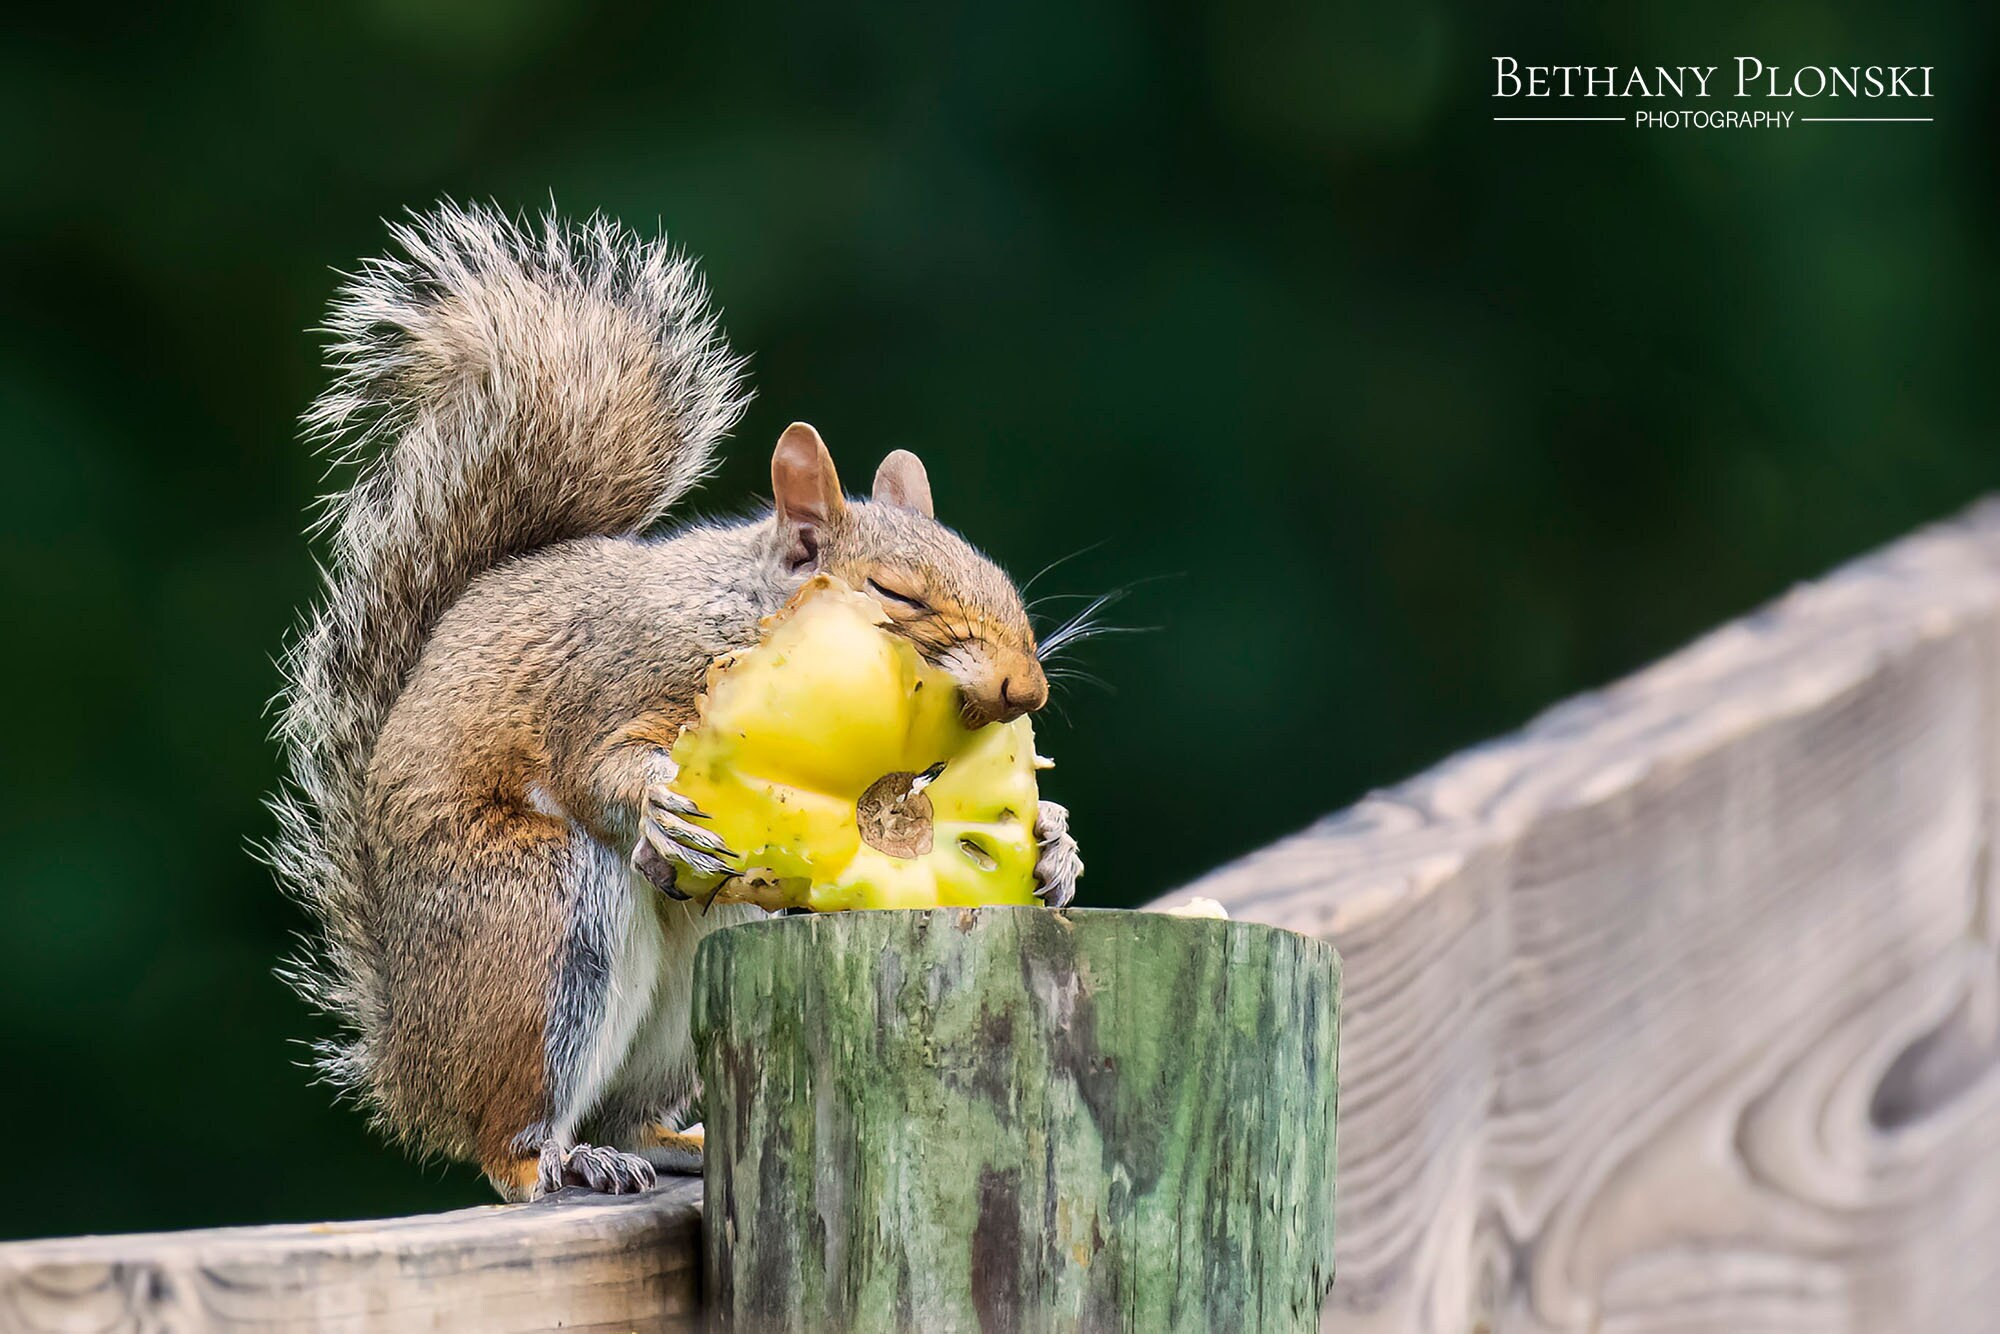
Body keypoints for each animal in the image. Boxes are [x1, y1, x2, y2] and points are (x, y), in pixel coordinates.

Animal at [268, 203, 1082, 1201]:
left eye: (999, 578)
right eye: (897, 594)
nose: (1026, 688)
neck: (749, 616)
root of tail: (410, 1063)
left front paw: (1054, 845)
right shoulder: (619, 677)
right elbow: (594, 768)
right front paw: (656, 802)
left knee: (631, 1103)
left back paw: (664, 1142)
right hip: (539, 920)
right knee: (507, 1138)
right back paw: (553, 1156)